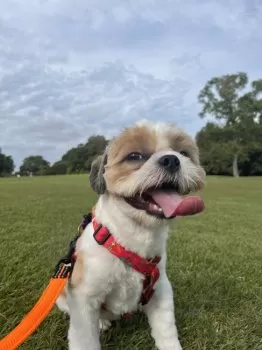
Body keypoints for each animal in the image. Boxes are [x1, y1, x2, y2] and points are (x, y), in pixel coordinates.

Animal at [56, 119, 206, 348]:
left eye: (183, 153)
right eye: (135, 156)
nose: (172, 159)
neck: (132, 240)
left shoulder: (160, 290)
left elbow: (166, 331)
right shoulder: (84, 298)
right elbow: (85, 339)